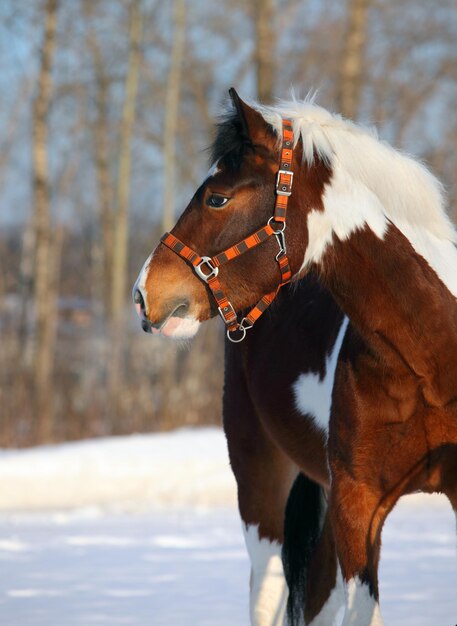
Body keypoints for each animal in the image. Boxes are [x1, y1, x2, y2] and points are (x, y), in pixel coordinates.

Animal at [132, 89, 456, 624]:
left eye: (217, 197)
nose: (143, 295)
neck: (429, 365)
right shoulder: (356, 504)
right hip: (261, 485)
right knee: (268, 595)